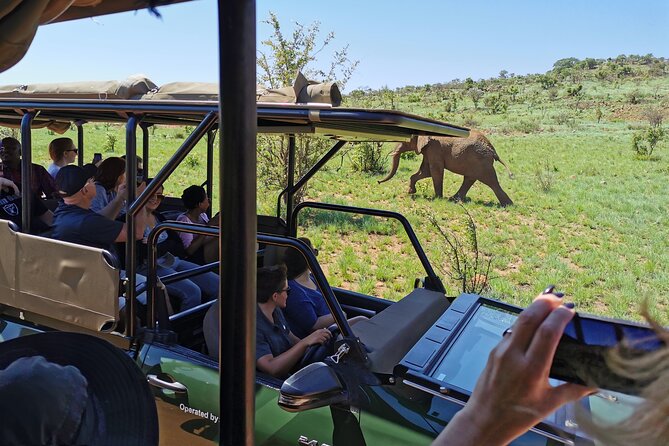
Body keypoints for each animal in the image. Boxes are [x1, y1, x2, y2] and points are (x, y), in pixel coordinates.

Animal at [378, 128, 516, 206]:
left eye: (405, 140)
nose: (378, 182)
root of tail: (493, 150)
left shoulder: (434, 148)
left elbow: (435, 171)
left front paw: (437, 198)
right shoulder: (429, 150)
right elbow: (425, 171)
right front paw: (411, 192)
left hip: (481, 161)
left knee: (491, 182)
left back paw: (507, 205)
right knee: (470, 179)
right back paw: (454, 199)